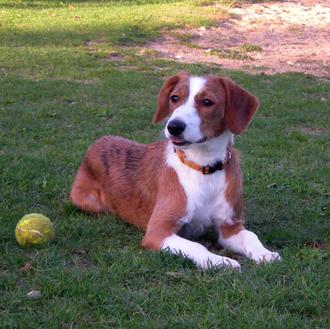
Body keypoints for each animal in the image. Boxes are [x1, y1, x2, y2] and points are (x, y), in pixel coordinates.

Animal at [70, 72, 282, 270]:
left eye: (207, 102)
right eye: (174, 98)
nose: (174, 126)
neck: (203, 166)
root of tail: (97, 142)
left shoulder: (229, 225)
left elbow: (251, 236)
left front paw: (265, 253)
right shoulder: (158, 231)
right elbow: (197, 246)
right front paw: (220, 261)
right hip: (87, 201)